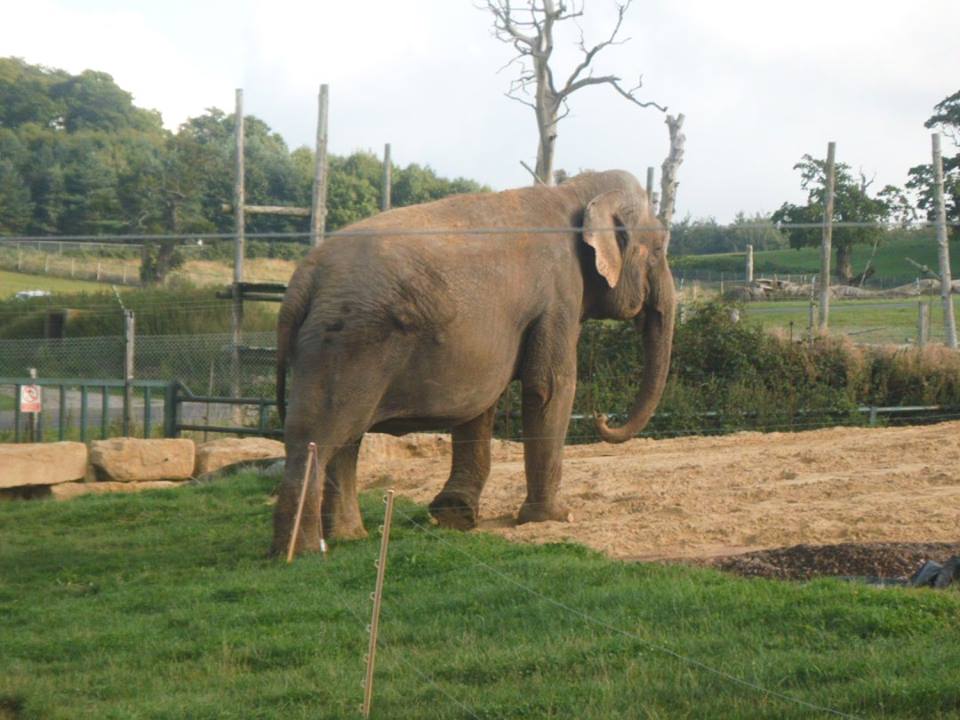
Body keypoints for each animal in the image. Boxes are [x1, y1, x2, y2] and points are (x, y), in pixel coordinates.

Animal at [272, 169, 675, 556]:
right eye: (658, 249)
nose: (602, 418)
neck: (574, 191)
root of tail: (302, 280)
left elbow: (482, 403)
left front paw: (455, 516)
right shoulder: (559, 294)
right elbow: (550, 386)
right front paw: (554, 517)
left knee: (343, 440)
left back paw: (348, 537)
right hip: (344, 344)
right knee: (318, 438)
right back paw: (301, 554)